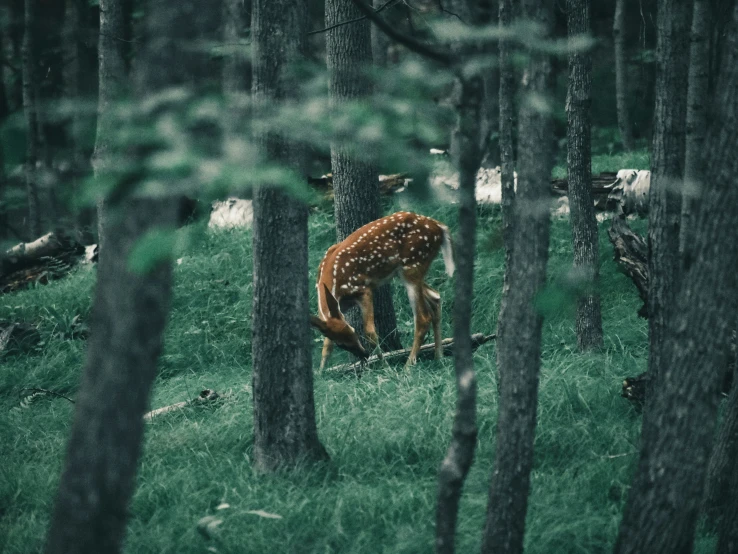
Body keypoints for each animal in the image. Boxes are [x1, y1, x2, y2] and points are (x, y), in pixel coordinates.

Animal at [308, 210, 452, 366]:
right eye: (340, 344)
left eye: (353, 330)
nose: (364, 354)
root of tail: (439, 226)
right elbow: (326, 347)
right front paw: (321, 371)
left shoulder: (363, 288)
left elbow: (370, 332)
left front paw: (384, 365)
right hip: (407, 271)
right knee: (435, 297)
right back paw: (439, 356)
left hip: (413, 264)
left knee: (423, 318)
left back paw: (408, 365)